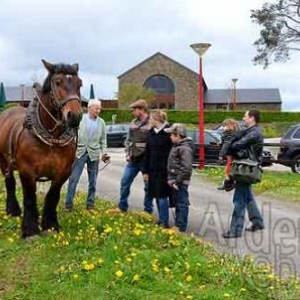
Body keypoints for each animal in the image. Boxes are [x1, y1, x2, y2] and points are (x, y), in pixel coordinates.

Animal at [0, 59, 82, 238]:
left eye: (80, 83)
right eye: (57, 82)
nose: (75, 116)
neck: (51, 139)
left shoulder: (63, 173)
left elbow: (52, 197)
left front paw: (50, 226)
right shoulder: (27, 171)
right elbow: (30, 198)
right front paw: (30, 230)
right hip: (3, 161)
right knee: (9, 183)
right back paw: (13, 211)